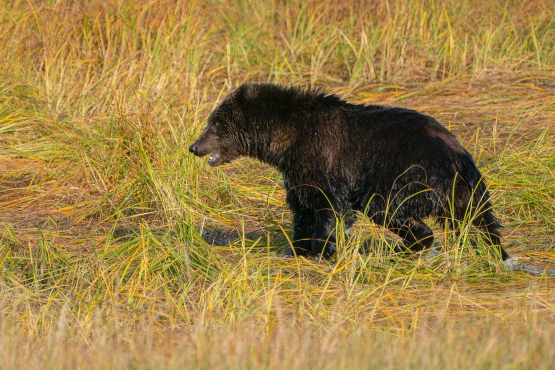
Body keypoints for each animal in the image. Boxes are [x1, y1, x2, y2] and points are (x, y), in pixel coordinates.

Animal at [188, 82, 512, 264]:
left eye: (215, 123)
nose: (194, 146)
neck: (286, 140)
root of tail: (461, 155)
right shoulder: (298, 171)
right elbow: (302, 207)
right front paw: (296, 248)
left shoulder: (326, 158)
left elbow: (330, 206)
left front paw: (322, 249)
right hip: (461, 190)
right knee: (480, 220)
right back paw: (496, 251)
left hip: (409, 174)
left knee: (388, 210)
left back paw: (404, 246)